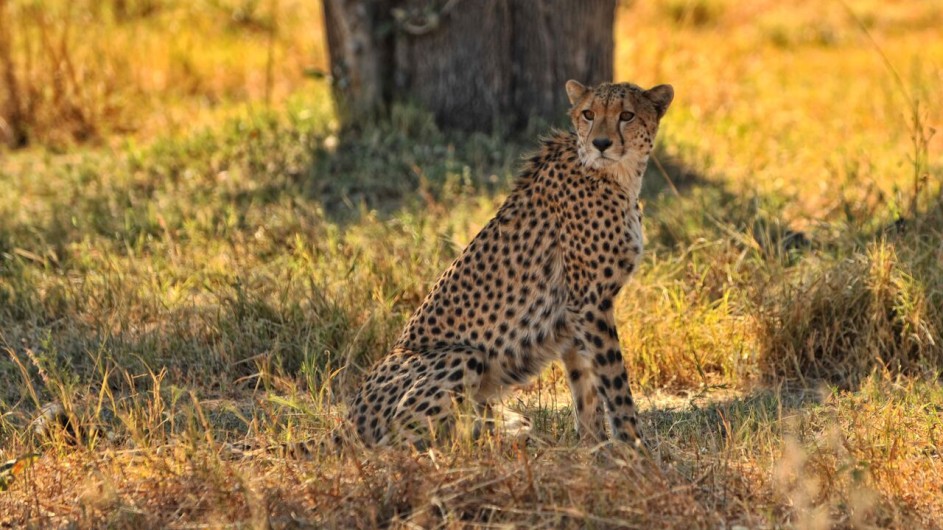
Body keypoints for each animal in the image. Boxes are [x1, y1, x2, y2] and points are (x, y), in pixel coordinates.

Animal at [346, 80, 672, 448]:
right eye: (589, 114)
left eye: (626, 115)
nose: (601, 143)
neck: (617, 175)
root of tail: (348, 419)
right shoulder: (590, 302)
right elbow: (613, 380)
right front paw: (635, 444)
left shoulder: (573, 313)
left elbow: (585, 386)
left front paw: (593, 443)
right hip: (462, 355)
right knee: (402, 437)